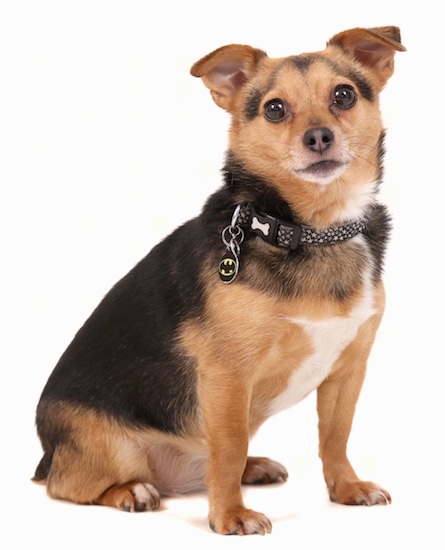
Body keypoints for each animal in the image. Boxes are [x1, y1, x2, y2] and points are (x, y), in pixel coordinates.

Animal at [33, 25, 402, 536]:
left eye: (343, 96)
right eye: (274, 108)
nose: (319, 136)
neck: (310, 229)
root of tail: (47, 453)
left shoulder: (349, 370)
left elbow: (335, 435)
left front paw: (347, 488)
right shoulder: (227, 377)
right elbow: (228, 448)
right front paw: (230, 515)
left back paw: (255, 467)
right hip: (109, 449)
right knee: (71, 486)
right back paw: (131, 492)